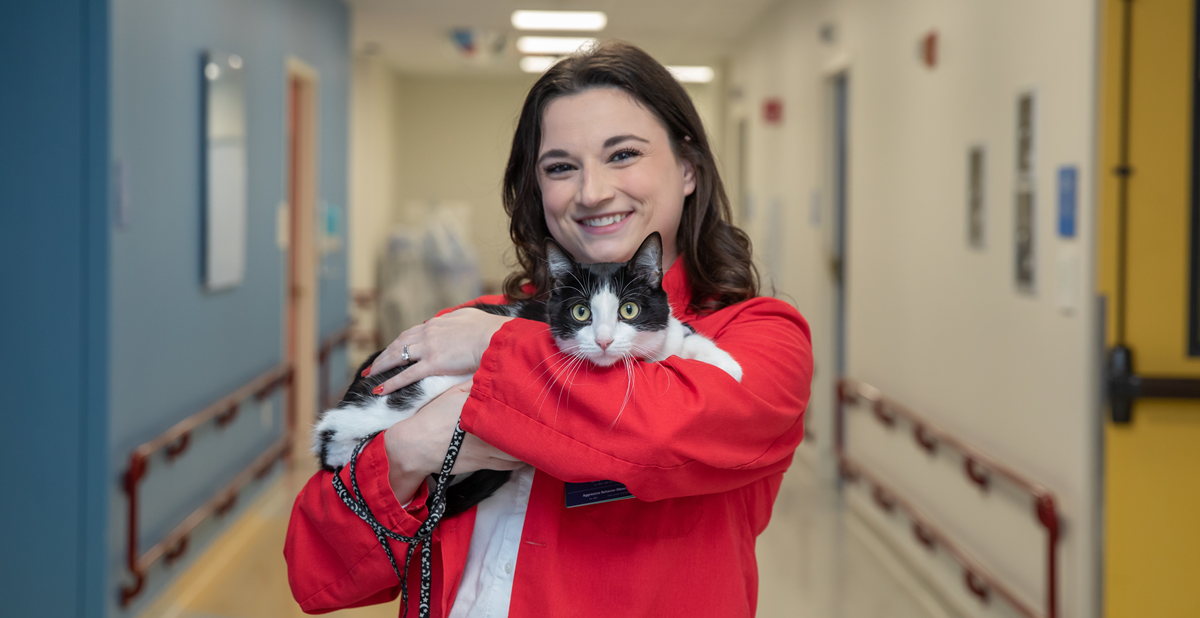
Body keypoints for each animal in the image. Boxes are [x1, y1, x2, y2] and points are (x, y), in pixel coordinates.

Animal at [309, 232, 739, 518]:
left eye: (628, 310)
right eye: (581, 312)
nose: (603, 340)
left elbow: (679, 336)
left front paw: (727, 365)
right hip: (409, 390)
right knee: (342, 434)